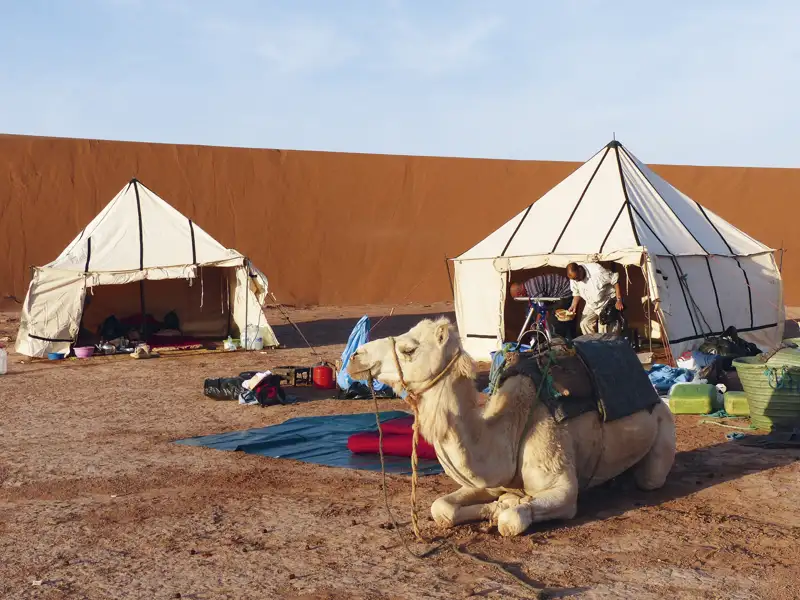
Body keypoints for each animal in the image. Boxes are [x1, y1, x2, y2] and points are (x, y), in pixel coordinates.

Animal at [347, 317, 676, 537]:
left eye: (408, 349)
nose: (355, 357)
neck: (509, 431)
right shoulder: (486, 482)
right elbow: (441, 508)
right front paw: (500, 502)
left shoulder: (562, 486)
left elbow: (512, 520)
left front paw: (504, 508)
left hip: (663, 425)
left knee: (649, 478)